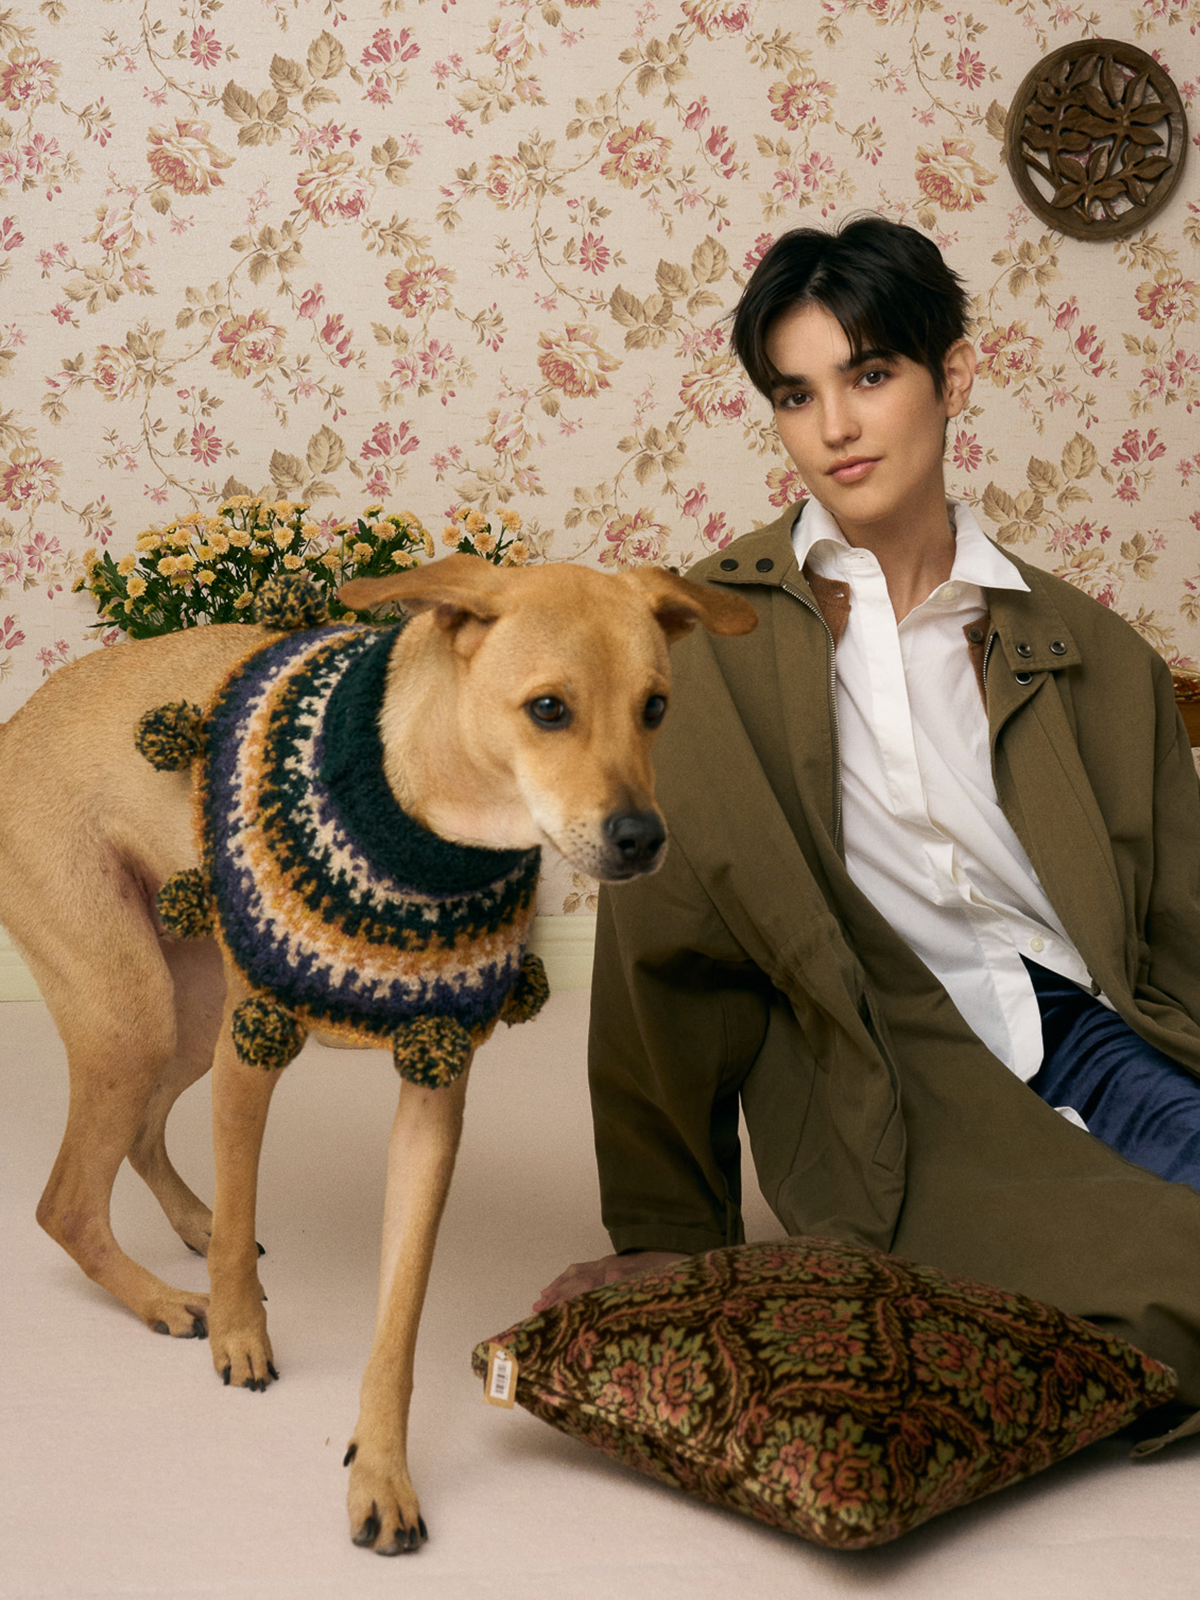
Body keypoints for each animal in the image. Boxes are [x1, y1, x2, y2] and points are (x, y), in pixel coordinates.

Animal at [0, 554, 756, 1554]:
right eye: (548, 709)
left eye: (656, 708)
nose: (641, 838)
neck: (424, 820)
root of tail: (12, 726)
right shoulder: (254, 1050)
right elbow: (241, 1231)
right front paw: (241, 1334)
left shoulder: (432, 1098)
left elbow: (398, 1320)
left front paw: (382, 1473)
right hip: (137, 1013)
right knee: (67, 1203)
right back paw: (167, 1298)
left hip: (185, 1013)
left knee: (138, 1136)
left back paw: (190, 1226)